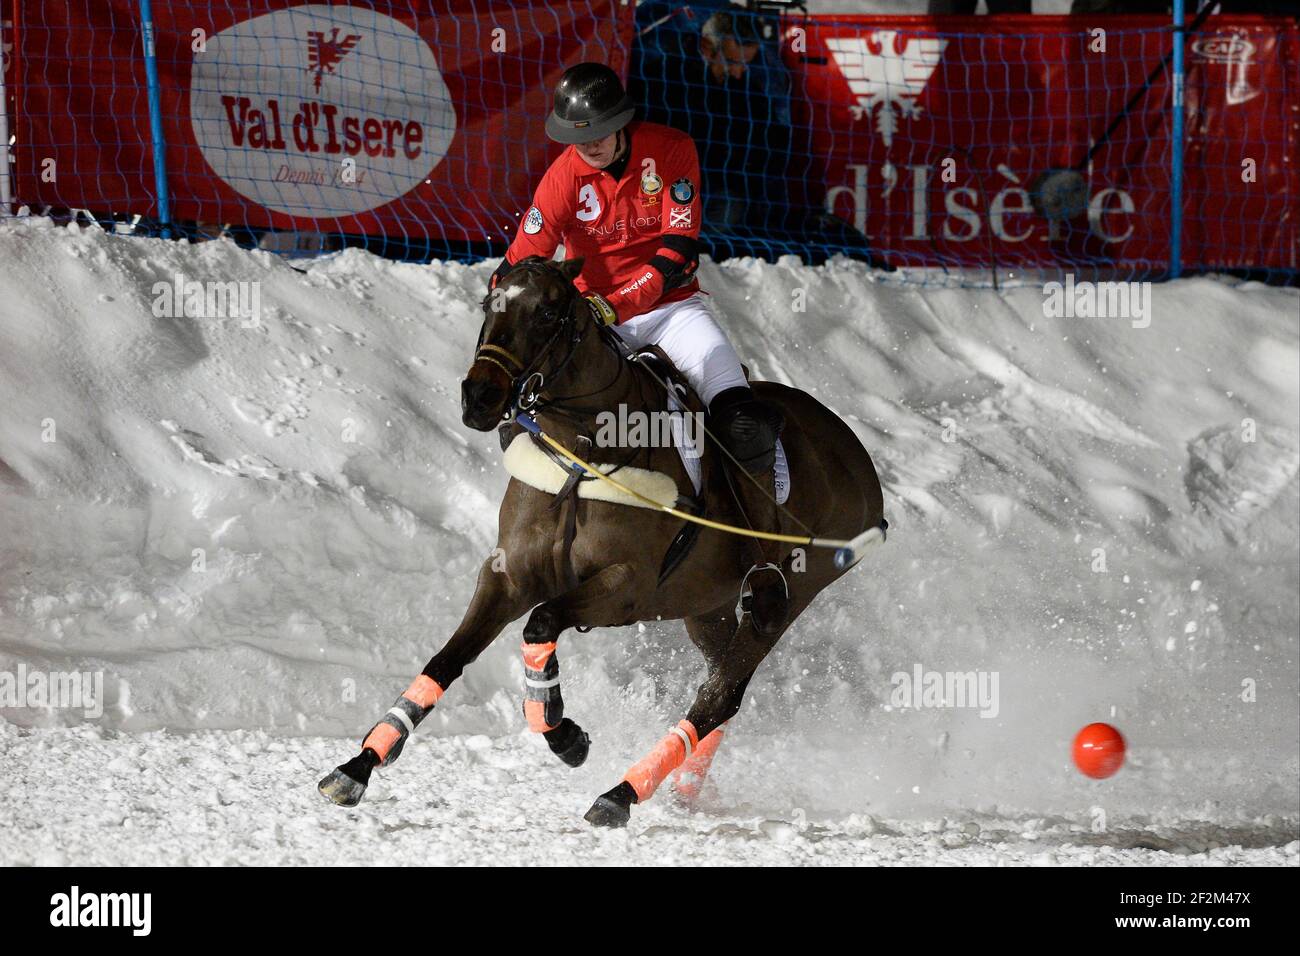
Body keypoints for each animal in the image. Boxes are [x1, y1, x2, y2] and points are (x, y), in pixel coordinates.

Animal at [317, 257, 883, 827]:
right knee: (722, 682)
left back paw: (622, 792)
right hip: (706, 605)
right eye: (488, 303)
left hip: (795, 589)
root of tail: (855, 451)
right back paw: (684, 791)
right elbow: (447, 658)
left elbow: (541, 622)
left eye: (547, 311)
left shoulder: (627, 588)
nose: (479, 397)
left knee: (723, 691)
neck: (583, 453)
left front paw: (563, 732)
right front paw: (358, 765)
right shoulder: (507, 575)